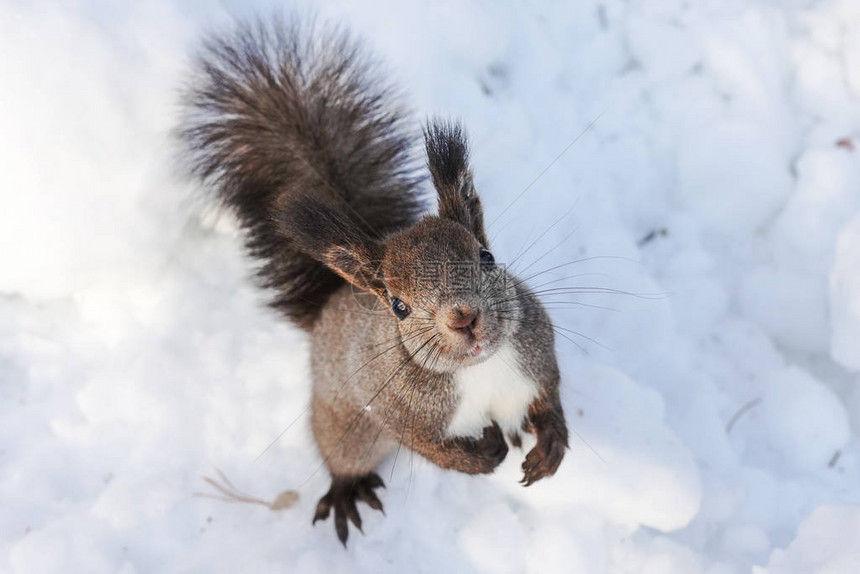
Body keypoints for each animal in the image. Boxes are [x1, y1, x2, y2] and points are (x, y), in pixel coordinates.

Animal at [181, 16, 568, 548]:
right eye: (398, 306)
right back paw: (348, 490)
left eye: (487, 258)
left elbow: (550, 395)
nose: (463, 318)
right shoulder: (393, 408)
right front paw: (481, 455)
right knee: (344, 457)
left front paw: (550, 443)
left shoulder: (534, 359)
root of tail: (330, 307)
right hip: (343, 424)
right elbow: (427, 447)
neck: (479, 371)